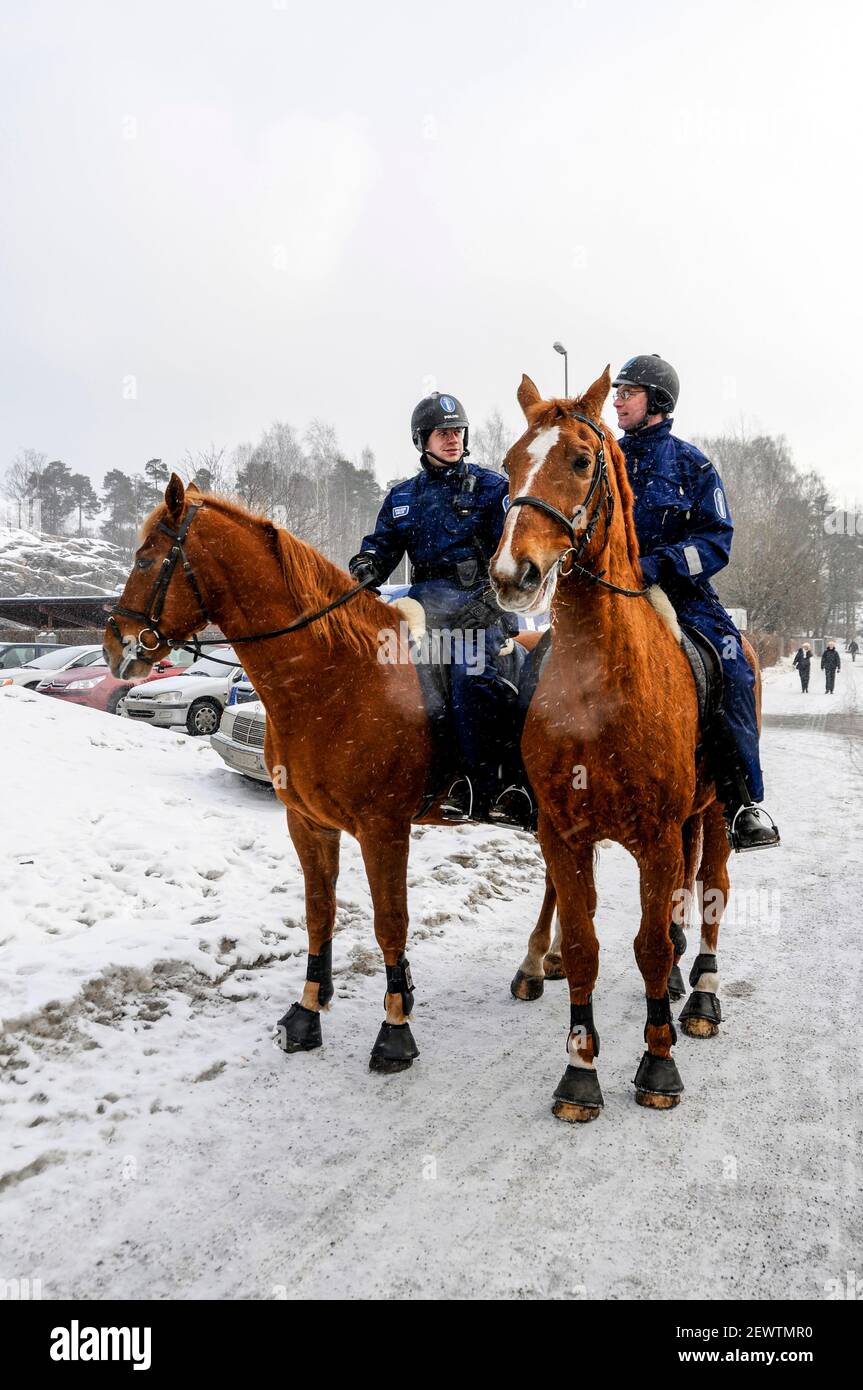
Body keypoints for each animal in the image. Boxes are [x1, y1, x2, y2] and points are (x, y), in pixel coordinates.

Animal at [102, 478, 558, 1073]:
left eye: (145, 557)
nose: (115, 644)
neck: (336, 679)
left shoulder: (384, 830)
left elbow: (390, 921)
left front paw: (395, 1027)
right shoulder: (308, 823)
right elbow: (319, 914)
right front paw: (308, 1011)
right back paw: (550, 960)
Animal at [489, 366, 755, 1117]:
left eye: (581, 460)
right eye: (510, 463)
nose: (513, 574)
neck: (596, 685)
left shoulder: (657, 834)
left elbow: (648, 947)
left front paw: (657, 1062)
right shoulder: (562, 831)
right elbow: (584, 944)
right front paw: (579, 1069)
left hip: (715, 813)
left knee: (712, 890)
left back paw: (700, 995)